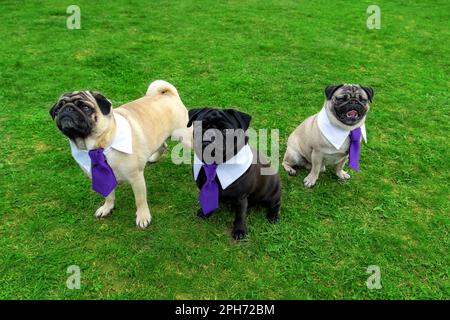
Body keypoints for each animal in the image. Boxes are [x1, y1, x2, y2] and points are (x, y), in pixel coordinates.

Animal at [49, 81, 193, 229]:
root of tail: (168, 94)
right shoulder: (102, 177)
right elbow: (108, 195)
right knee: (163, 145)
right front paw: (107, 207)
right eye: (58, 108)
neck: (100, 145)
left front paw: (143, 217)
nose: (67, 109)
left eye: (85, 107)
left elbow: (140, 200)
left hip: (185, 137)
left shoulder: (136, 178)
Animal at [187, 107, 282, 240]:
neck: (215, 165)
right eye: (201, 126)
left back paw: (273, 216)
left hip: (271, 195)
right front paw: (206, 213)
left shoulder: (241, 198)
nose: (210, 135)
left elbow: (240, 216)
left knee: (276, 204)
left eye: (225, 130)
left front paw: (239, 230)